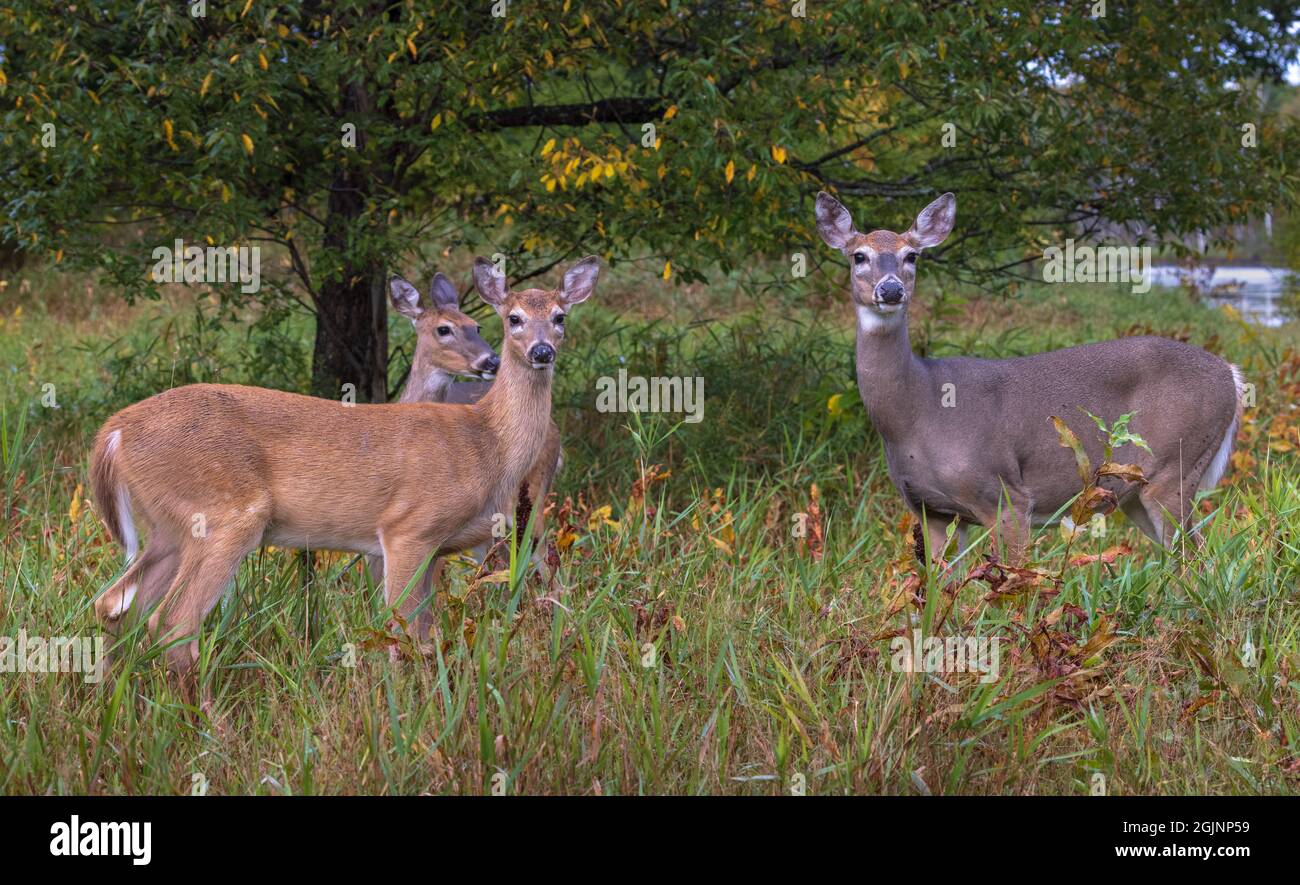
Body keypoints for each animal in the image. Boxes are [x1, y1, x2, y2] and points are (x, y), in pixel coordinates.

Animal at [89, 256, 600, 680]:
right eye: (513, 319)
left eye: (560, 317)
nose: (541, 351)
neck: (487, 442)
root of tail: (114, 432)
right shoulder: (407, 528)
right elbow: (402, 634)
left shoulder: (439, 546)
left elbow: (424, 635)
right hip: (223, 514)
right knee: (174, 624)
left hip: (167, 530)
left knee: (115, 603)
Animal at [814, 191, 1244, 564]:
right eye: (859, 256)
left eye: (912, 256)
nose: (891, 290)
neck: (917, 411)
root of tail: (1232, 374)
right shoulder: (930, 510)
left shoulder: (1006, 494)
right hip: (1137, 492)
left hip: (1175, 464)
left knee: (1198, 559)